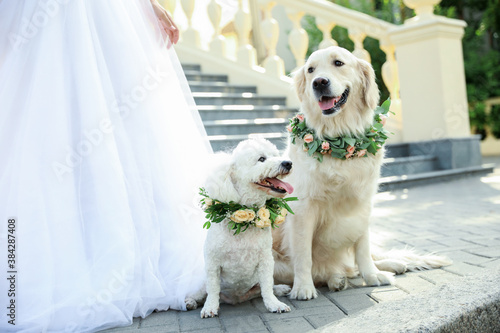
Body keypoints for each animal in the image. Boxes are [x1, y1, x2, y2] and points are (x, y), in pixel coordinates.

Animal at [189, 139, 294, 318]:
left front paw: (274, 304)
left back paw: (280, 289)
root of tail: (237, 298)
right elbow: (213, 289)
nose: (288, 163)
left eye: (276, 155)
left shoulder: (266, 260)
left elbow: (267, 287)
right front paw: (209, 308)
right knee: (202, 293)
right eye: (261, 159)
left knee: (265, 289)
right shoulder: (212, 263)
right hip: (203, 283)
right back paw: (190, 301)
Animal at [272, 46, 452, 298]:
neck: (337, 138)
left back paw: (390, 265)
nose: (319, 82)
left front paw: (373, 275)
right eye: (310, 70)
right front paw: (303, 287)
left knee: (355, 264)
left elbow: (363, 249)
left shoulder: (363, 203)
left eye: (338, 63)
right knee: (323, 271)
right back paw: (334, 279)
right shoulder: (303, 208)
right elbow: (303, 255)